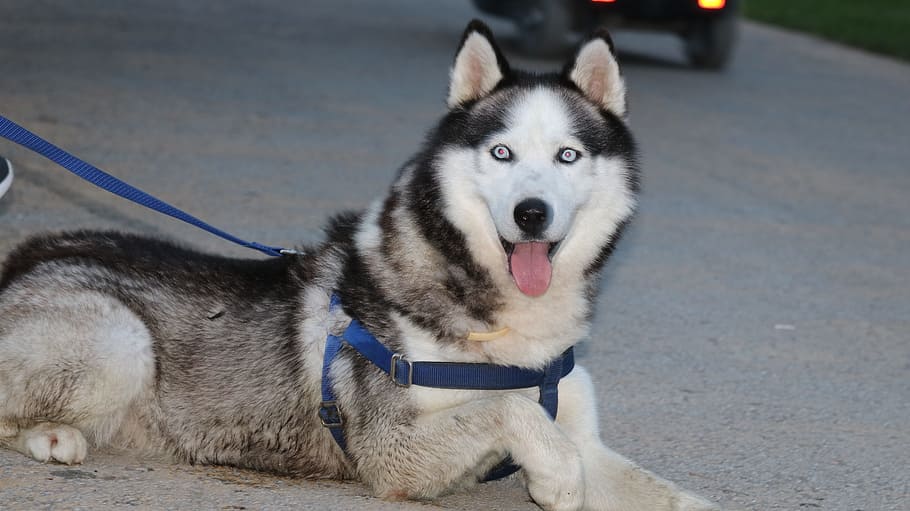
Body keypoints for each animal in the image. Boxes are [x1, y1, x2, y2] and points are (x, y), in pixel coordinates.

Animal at [0, 20, 718, 511]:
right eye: (503, 153)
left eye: (569, 155)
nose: (532, 214)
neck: (507, 332)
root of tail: (26, 255)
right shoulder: (392, 453)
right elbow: (509, 411)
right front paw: (556, 476)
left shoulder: (586, 435)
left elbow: (653, 483)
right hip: (121, 338)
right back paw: (53, 438)